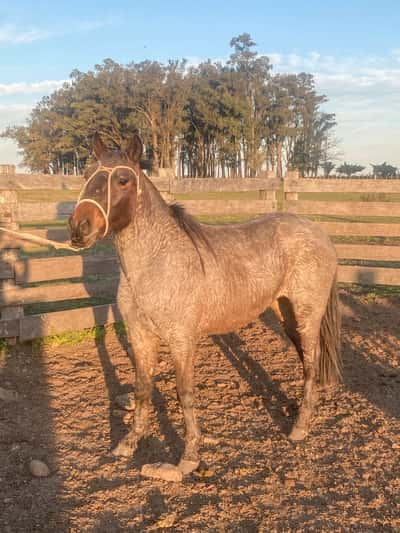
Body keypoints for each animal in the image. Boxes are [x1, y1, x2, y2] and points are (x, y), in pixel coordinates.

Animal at [68, 133, 340, 478]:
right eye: (86, 174)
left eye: (123, 180)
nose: (79, 228)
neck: (157, 263)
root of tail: (319, 233)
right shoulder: (140, 336)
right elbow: (143, 388)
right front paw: (129, 443)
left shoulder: (182, 341)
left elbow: (185, 394)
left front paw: (188, 457)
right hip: (286, 314)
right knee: (307, 359)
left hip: (307, 315)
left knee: (312, 361)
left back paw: (300, 427)